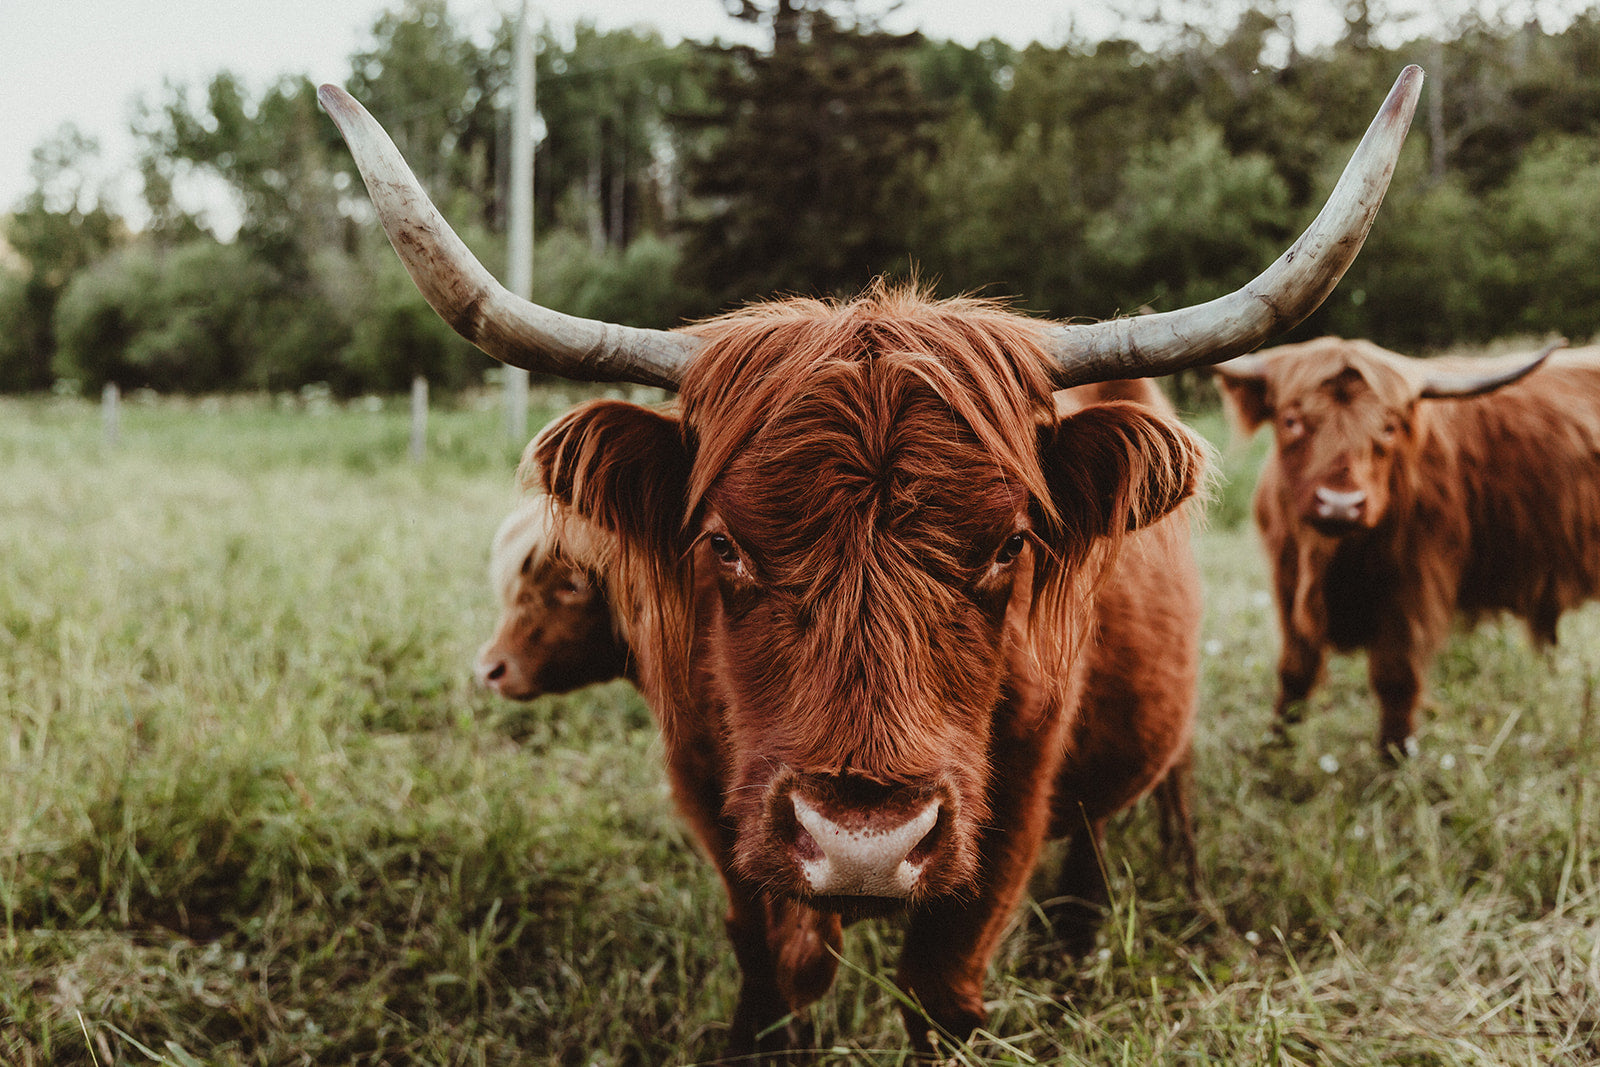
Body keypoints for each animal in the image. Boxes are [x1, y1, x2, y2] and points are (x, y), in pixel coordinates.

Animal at [1216, 335, 1580, 751]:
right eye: (1291, 421)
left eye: (1389, 427)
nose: (1340, 504)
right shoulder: (1288, 582)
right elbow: (1295, 671)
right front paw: (1275, 748)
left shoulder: (1413, 588)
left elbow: (1395, 678)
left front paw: (1395, 758)